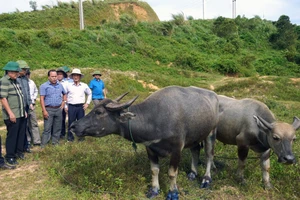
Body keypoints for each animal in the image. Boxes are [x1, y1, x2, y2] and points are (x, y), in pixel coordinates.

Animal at [71, 85, 219, 198]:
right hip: (195, 135)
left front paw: (173, 193)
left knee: (209, 155)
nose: (73, 126)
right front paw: (154, 190)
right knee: (195, 150)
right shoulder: (150, 147)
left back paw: (206, 179)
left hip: (211, 132)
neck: (154, 118)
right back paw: (192, 173)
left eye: (99, 112)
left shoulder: (177, 149)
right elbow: (154, 170)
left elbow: (172, 173)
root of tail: (214, 96)